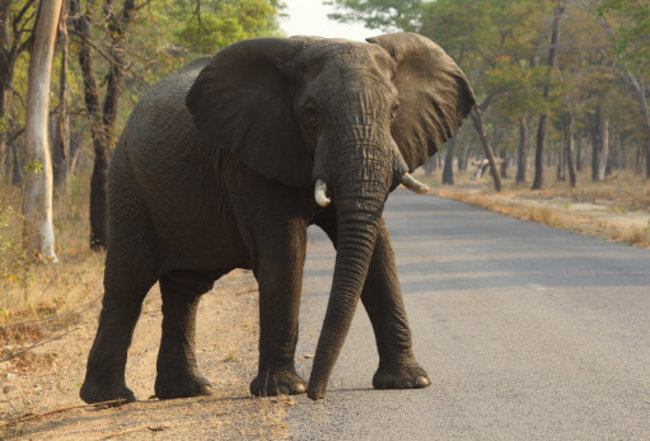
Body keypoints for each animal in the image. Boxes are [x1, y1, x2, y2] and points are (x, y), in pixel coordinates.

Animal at [79, 32, 475, 404]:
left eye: (394, 110)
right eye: (311, 112)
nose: (318, 394)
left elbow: (380, 250)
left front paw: (410, 382)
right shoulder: (249, 158)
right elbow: (284, 251)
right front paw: (284, 390)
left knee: (185, 289)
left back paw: (187, 391)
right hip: (128, 184)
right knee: (129, 281)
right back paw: (111, 398)